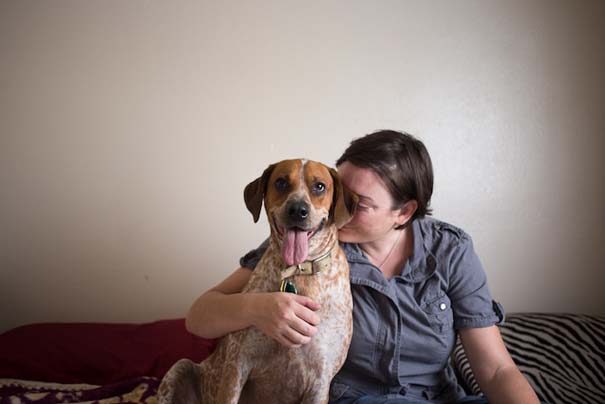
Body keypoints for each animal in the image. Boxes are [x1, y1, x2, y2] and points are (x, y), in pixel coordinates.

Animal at [158, 159, 357, 404]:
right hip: (180, 368)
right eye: (281, 182)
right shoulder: (237, 365)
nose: (297, 210)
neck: (298, 272)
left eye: (319, 186)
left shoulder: (320, 382)